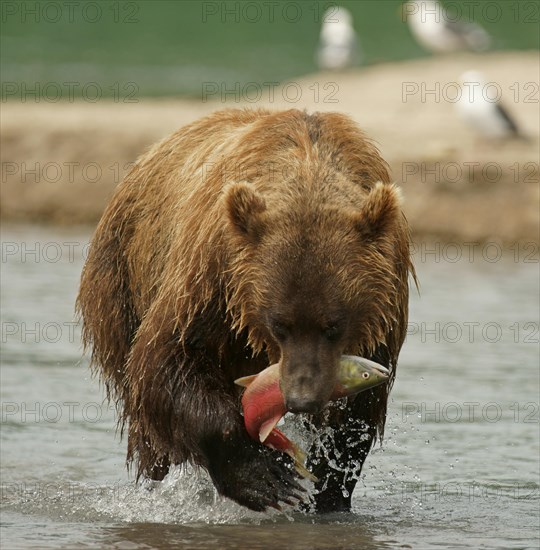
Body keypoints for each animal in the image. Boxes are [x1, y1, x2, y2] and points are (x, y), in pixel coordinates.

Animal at [77, 108, 414, 512]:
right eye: (279, 324)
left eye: (332, 326)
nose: (300, 398)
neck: (308, 170)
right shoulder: (213, 276)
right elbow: (166, 358)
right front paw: (264, 476)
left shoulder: (384, 310)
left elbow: (357, 415)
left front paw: (327, 489)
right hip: (120, 283)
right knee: (148, 428)